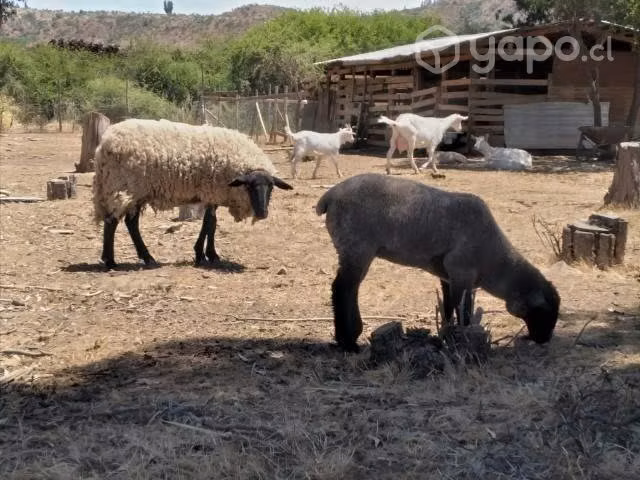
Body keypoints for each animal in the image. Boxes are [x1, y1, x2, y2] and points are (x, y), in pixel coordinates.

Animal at [93, 118, 293, 269]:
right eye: (250, 187)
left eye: (271, 187)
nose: (263, 213)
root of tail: (103, 145)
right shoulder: (211, 191)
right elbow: (209, 223)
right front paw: (203, 255)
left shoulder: (213, 195)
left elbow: (211, 224)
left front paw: (209, 254)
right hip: (123, 187)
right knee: (112, 222)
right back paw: (112, 261)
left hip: (134, 192)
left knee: (130, 223)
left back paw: (144, 257)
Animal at [316, 173, 560, 352]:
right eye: (544, 312)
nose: (544, 340)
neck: (495, 260)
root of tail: (330, 195)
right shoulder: (461, 271)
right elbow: (464, 312)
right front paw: (462, 339)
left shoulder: (448, 275)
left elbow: (449, 307)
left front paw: (446, 336)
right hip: (357, 247)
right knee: (342, 289)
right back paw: (348, 342)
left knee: (350, 289)